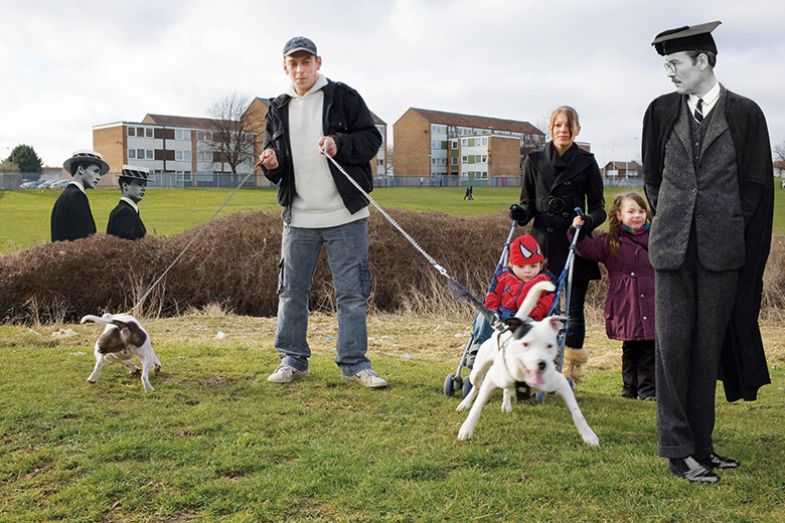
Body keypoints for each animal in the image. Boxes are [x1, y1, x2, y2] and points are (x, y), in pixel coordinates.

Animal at [456, 282, 596, 446]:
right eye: (525, 344)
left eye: (550, 346)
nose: (541, 364)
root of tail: (502, 331)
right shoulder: (490, 379)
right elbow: (477, 407)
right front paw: (466, 429)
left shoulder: (561, 383)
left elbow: (577, 412)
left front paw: (589, 435)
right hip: (477, 370)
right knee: (476, 385)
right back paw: (465, 403)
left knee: (505, 390)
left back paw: (506, 405)